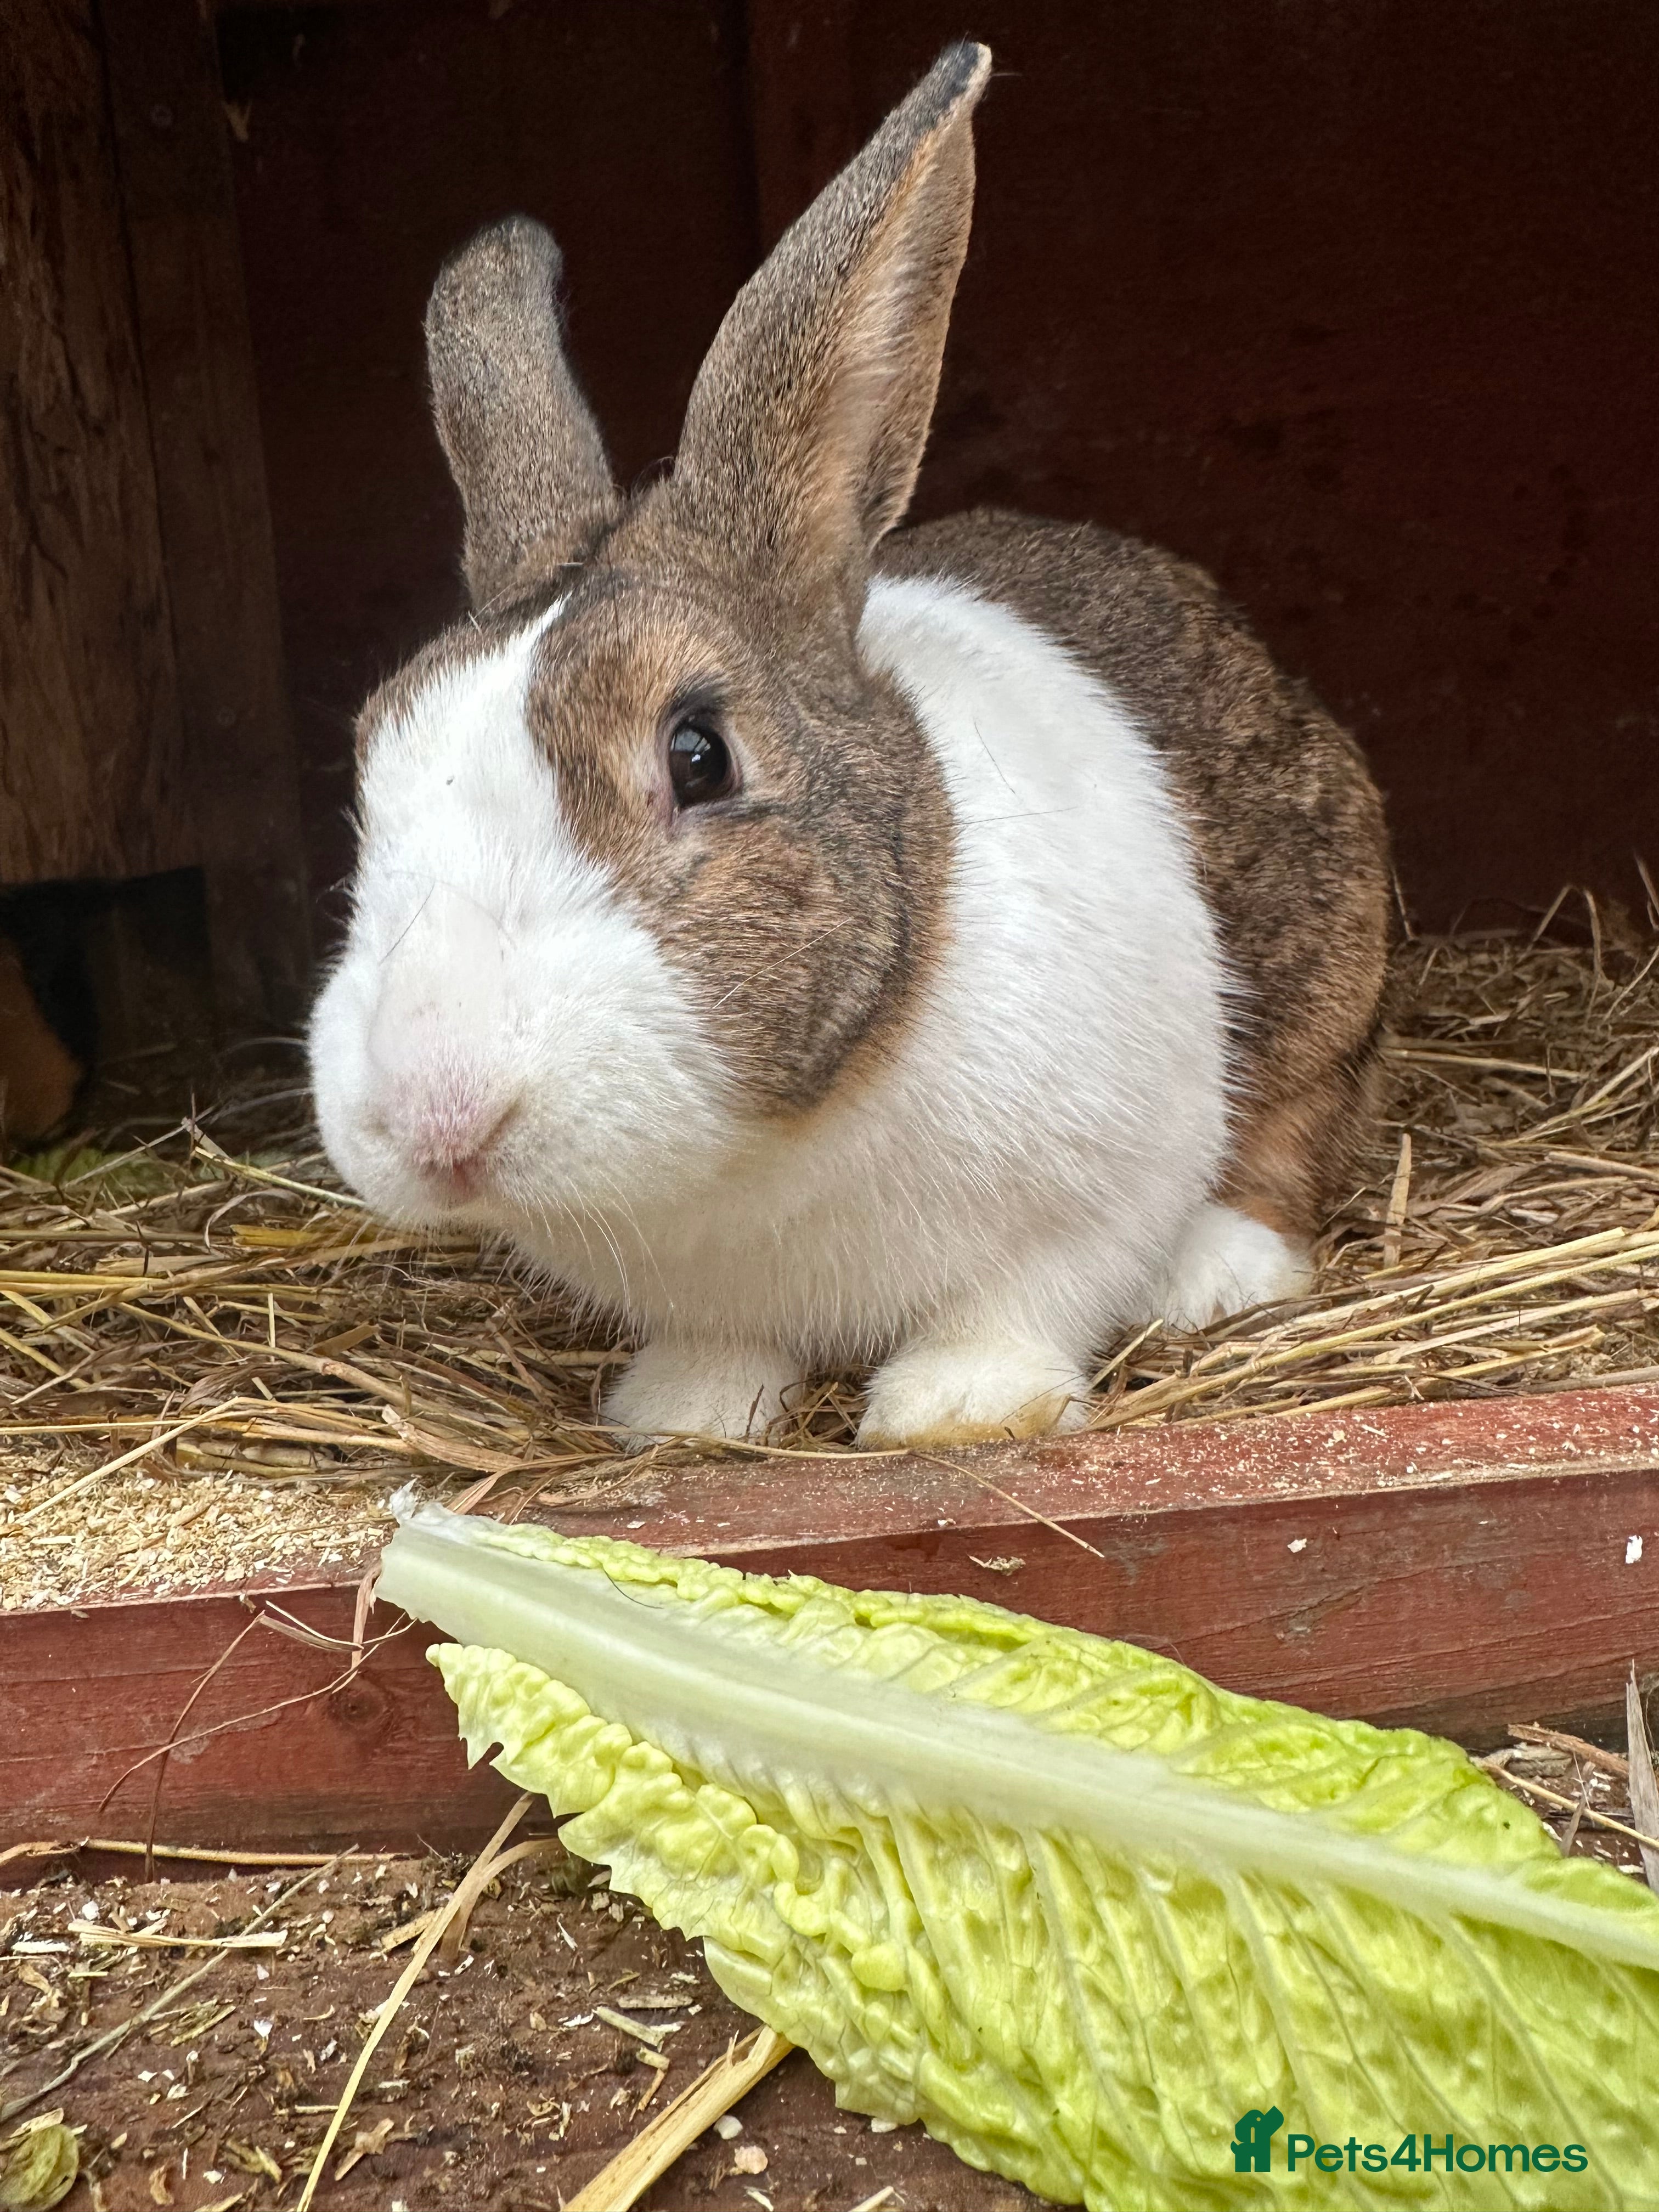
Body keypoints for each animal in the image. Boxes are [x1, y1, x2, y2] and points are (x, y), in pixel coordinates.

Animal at [309, 42, 1391, 1451]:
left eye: (699, 756)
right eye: (372, 777)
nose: (436, 1113)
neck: (774, 1148)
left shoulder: (1105, 1185)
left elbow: (1028, 1297)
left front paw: (959, 1410)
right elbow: (719, 1348)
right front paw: (687, 1416)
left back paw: (1220, 1271)